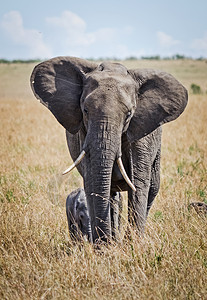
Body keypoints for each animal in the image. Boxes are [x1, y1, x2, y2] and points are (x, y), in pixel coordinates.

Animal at [30, 56, 188, 244]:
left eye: (129, 114)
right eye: (85, 110)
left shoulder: (141, 134)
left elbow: (138, 183)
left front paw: (132, 246)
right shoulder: (84, 134)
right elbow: (93, 182)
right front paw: (106, 248)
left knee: (152, 188)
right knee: (111, 193)